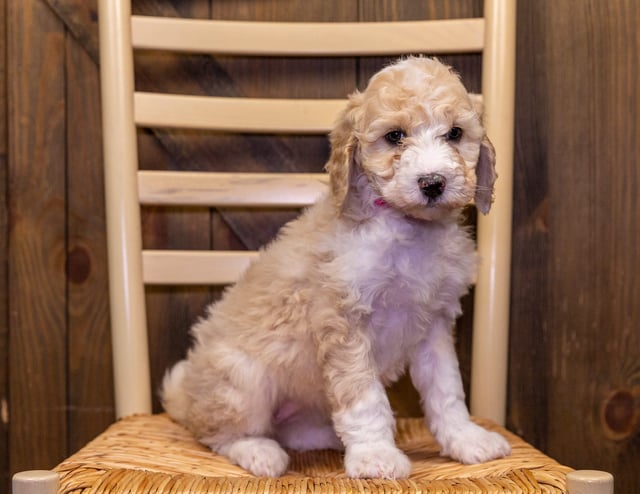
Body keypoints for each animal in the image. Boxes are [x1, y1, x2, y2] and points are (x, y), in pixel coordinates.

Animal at [164, 57, 510, 478]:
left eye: (455, 133)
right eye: (395, 136)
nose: (432, 183)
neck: (406, 229)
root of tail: (185, 399)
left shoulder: (435, 326)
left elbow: (447, 390)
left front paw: (466, 439)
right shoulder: (343, 322)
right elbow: (364, 398)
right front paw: (376, 456)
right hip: (241, 379)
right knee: (217, 433)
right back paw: (258, 450)